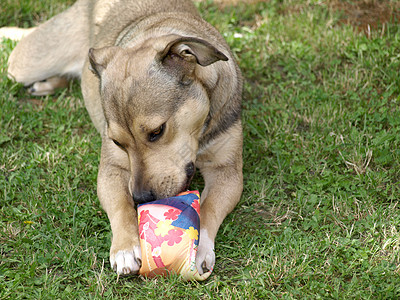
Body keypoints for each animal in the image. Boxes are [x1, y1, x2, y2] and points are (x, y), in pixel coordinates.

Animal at [1, 0, 242, 278]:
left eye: (157, 131)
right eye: (117, 142)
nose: (141, 198)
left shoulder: (227, 171)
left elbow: (210, 207)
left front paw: (201, 247)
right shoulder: (112, 169)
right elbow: (119, 206)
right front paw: (125, 248)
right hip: (24, 64)